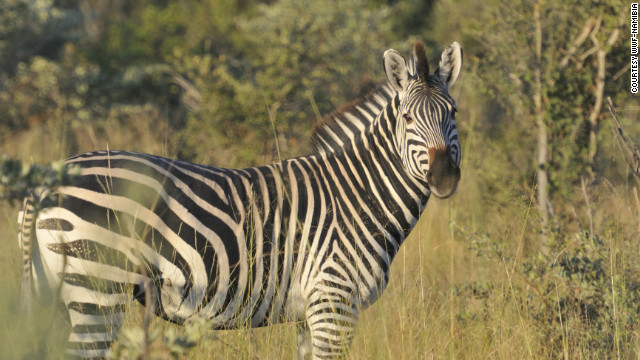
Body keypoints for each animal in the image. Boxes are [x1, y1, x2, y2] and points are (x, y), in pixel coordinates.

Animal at [17, 40, 462, 358]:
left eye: (453, 113)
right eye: (407, 118)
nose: (444, 177)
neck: (359, 194)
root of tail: (45, 181)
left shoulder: (310, 313)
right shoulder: (334, 304)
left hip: (57, 294)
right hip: (97, 291)